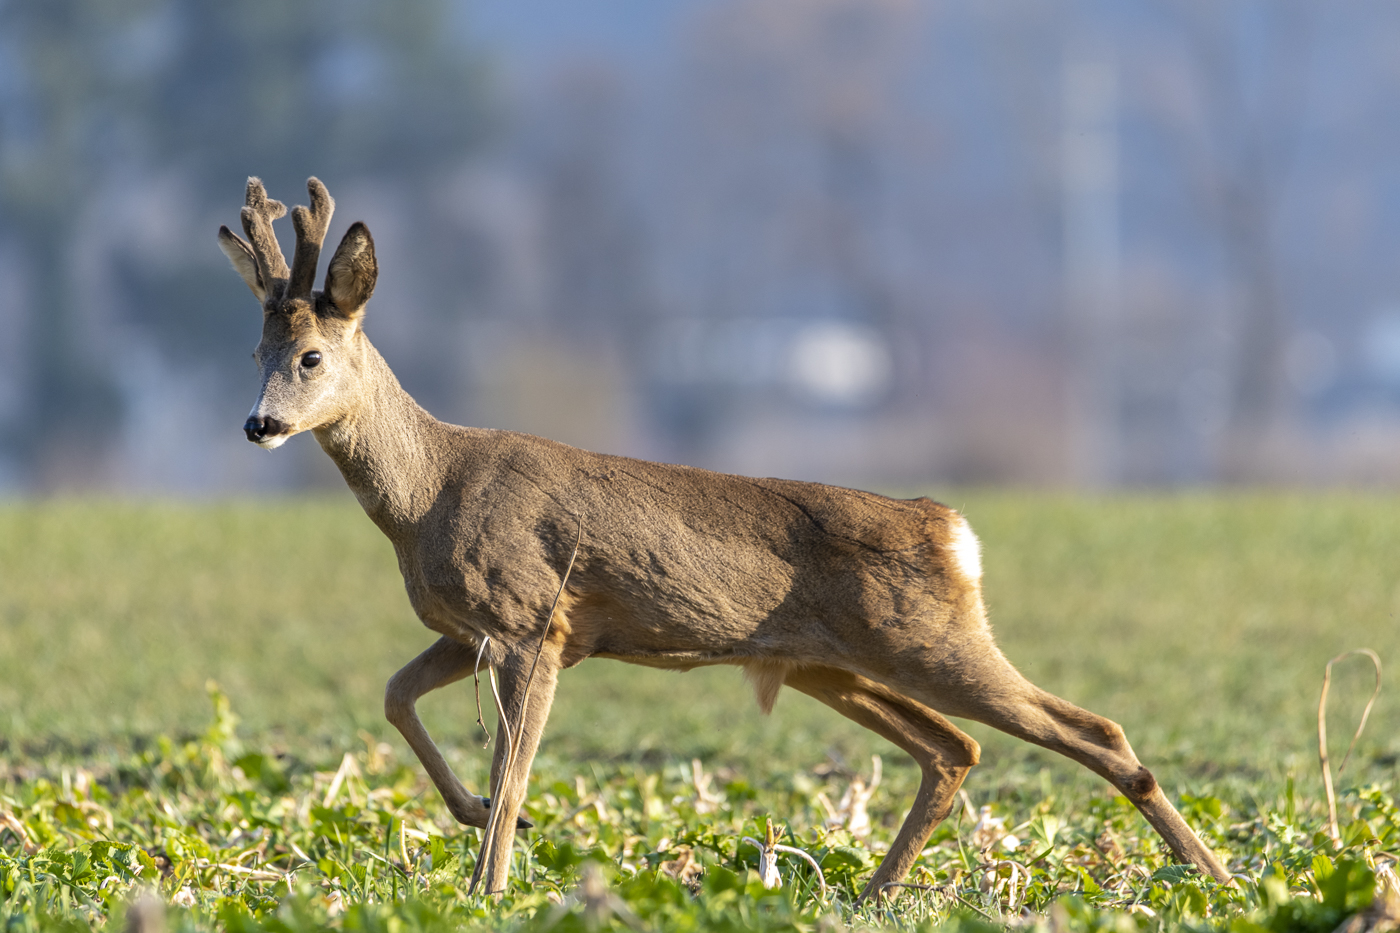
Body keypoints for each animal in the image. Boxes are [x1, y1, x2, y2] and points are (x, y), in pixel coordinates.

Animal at [212, 174, 1232, 896]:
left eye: (311, 357)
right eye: (256, 352)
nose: (258, 426)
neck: (426, 492)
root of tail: (950, 529)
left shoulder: (536, 619)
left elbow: (515, 767)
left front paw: (488, 882)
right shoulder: (483, 629)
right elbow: (396, 696)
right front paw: (476, 823)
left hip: (929, 638)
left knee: (1089, 727)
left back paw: (1215, 878)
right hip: (832, 663)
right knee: (953, 747)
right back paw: (873, 888)